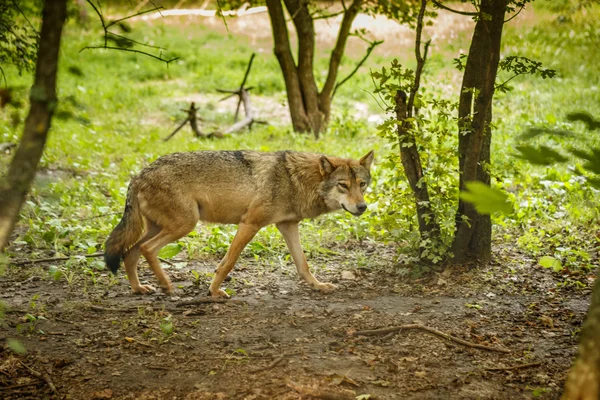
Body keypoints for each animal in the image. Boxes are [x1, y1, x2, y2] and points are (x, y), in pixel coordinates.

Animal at [104, 150, 376, 296]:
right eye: (343, 185)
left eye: (362, 184)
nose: (362, 207)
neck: (296, 180)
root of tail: (138, 175)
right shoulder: (249, 223)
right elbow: (227, 263)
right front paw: (214, 292)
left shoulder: (288, 225)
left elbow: (303, 265)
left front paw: (318, 286)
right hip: (185, 225)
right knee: (146, 249)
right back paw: (166, 285)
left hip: (161, 227)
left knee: (130, 252)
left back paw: (139, 288)